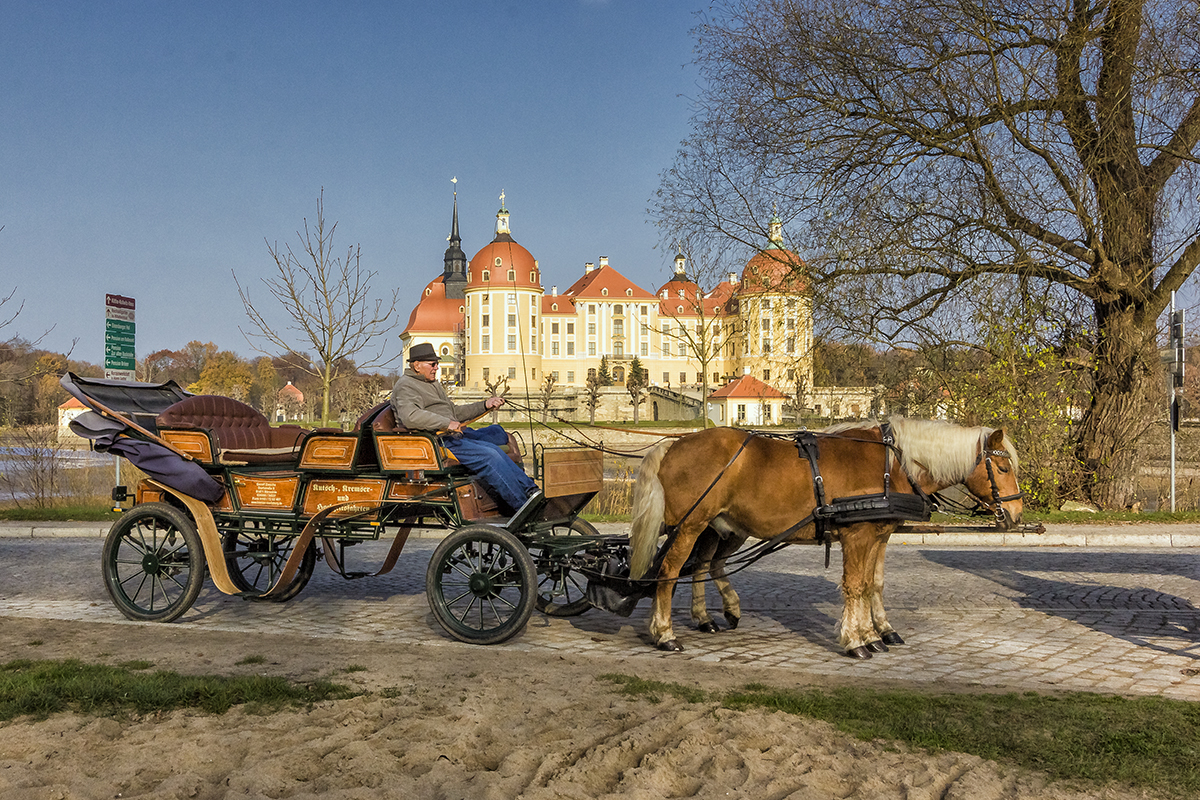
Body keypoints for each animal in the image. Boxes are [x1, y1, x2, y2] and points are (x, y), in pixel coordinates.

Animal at [628, 419, 1022, 657]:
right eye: (1003, 468)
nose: (1017, 515)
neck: (893, 465)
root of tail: (675, 443)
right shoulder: (857, 536)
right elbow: (854, 586)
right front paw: (856, 640)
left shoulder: (879, 534)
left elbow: (873, 584)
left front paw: (878, 633)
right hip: (691, 526)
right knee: (670, 571)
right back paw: (665, 633)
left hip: (719, 525)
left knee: (705, 565)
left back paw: (710, 615)